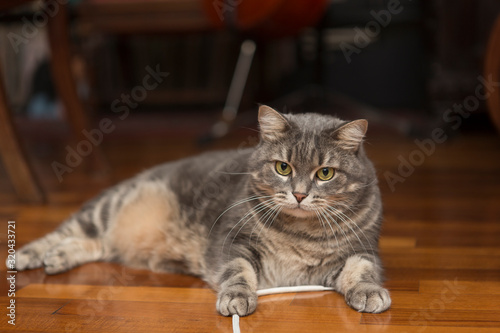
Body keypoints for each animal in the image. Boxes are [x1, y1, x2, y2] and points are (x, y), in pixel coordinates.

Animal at [10, 105, 390, 314]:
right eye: (283, 168)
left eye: (325, 173)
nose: (298, 194)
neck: (301, 231)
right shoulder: (233, 240)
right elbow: (238, 272)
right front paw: (237, 298)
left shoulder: (361, 250)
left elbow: (361, 270)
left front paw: (370, 292)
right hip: (106, 209)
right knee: (68, 231)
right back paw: (28, 256)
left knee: (97, 244)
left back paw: (60, 256)